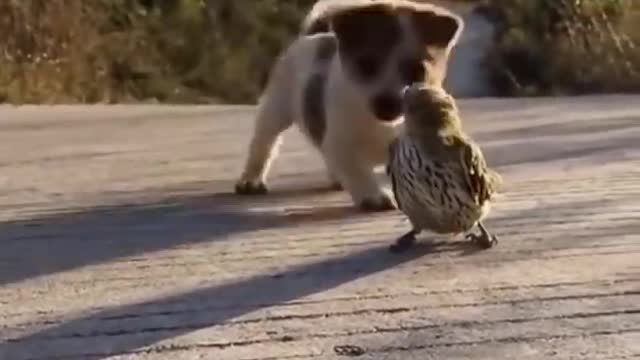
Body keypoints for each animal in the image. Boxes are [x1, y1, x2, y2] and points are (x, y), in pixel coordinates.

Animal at [232, 0, 462, 211]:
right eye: (366, 64)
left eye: (417, 71)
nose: (387, 102)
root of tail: (316, 34)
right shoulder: (340, 144)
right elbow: (356, 170)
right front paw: (373, 196)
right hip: (275, 108)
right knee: (263, 144)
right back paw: (251, 180)